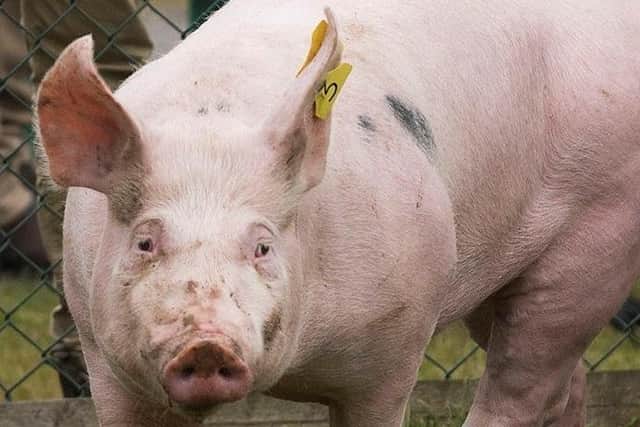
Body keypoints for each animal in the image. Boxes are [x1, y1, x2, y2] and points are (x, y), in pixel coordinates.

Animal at [35, 0, 640, 426]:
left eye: (262, 245)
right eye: (146, 241)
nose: (205, 344)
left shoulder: (395, 341)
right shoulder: (102, 355)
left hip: (597, 235)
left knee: (521, 391)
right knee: (565, 389)